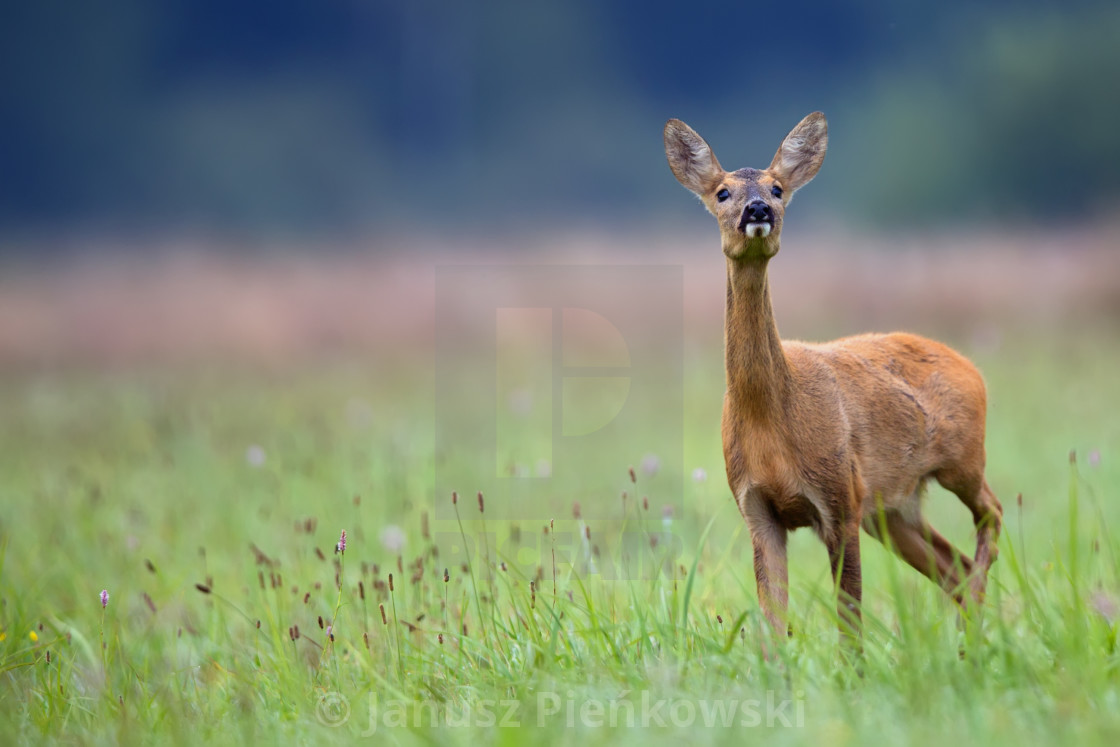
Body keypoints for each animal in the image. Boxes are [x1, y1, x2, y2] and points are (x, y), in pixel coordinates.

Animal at [663, 112, 1008, 649]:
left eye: (778, 188)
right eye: (722, 192)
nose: (758, 208)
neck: (772, 419)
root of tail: (969, 365)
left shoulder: (839, 499)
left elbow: (849, 618)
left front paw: (855, 667)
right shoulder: (757, 507)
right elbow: (772, 621)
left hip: (962, 460)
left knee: (991, 512)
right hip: (893, 508)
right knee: (953, 565)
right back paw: (968, 637)